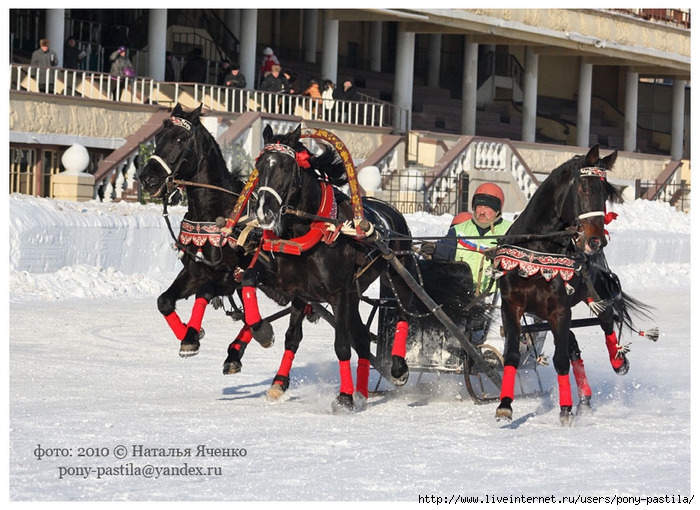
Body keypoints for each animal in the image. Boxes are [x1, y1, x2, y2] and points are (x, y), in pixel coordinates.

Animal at [137, 103, 274, 364]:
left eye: (180, 139)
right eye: (158, 137)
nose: (148, 178)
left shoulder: (230, 276)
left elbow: (205, 291)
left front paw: (190, 336)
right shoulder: (194, 272)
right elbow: (164, 301)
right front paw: (190, 333)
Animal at [254, 125, 490, 412]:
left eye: (285, 167)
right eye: (259, 166)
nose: (263, 212)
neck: (316, 228)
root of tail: (390, 209)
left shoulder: (338, 294)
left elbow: (342, 345)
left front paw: (344, 398)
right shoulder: (300, 292)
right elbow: (292, 337)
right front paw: (278, 383)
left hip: (398, 274)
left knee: (403, 314)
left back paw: (398, 368)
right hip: (355, 293)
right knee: (363, 340)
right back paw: (363, 390)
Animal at [494, 145, 652, 424]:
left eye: (606, 194)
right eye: (585, 189)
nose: (597, 241)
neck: (538, 247)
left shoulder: (559, 309)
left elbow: (560, 360)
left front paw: (565, 409)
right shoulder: (511, 305)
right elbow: (512, 353)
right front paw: (505, 404)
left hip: (594, 291)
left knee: (606, 320)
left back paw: (617, 360)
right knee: (573, 345)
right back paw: (585, 397)